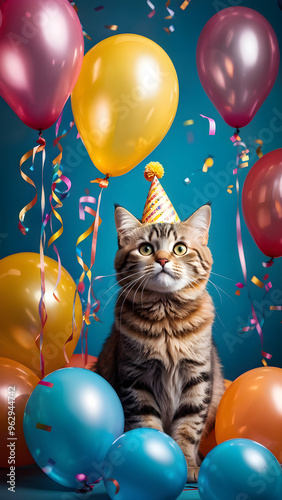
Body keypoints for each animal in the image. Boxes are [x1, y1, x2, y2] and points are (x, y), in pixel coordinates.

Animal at [96, 202, 226, 480]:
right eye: (146, 249)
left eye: (180, 248)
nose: (163, 260)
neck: (167, 320)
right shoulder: (135, 379)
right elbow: (148, 425)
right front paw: (153, 462)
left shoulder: (198, 378)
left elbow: (188, 429)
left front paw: (188, 465)